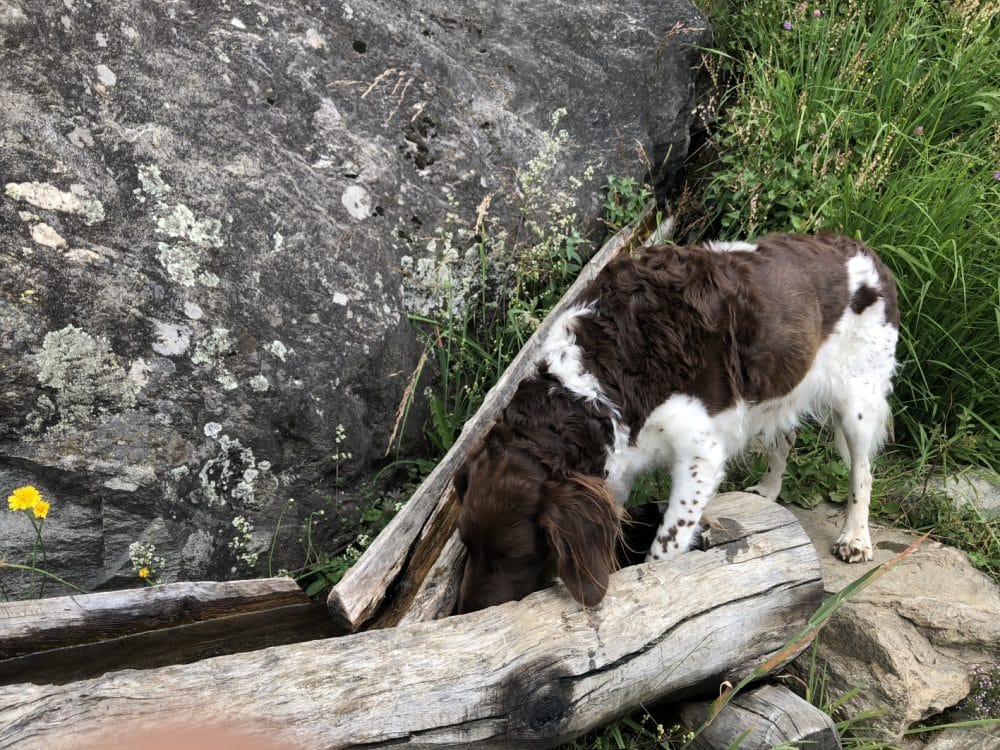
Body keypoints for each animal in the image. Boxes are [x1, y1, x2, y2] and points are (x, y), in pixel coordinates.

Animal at [458, 232, 904, 612]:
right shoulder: (617, 470)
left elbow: (665, 547)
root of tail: (865, 250)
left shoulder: (700, 455)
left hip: (858, 401)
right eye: (466, 546)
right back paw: (768, 491)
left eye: (511, 556)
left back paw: (855, 538)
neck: (593, 382)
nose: (467, 612)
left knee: (862, 471)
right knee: (785, 439)